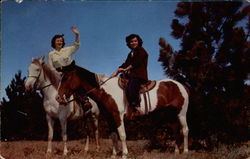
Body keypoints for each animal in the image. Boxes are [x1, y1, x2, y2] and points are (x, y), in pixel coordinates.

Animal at [56, 66, 189, 158]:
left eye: (66, 78)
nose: (58, 98)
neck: (106, 92)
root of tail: (182, 86)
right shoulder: (110, 118)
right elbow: (114, 136)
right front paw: (114, 154)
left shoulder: (118, 116)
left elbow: (122, 135)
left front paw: (125, 154)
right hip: (171, 114)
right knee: (176, 130)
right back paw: (176, 152)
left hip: (181, 113)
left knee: (185, 130)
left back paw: (186, 151)